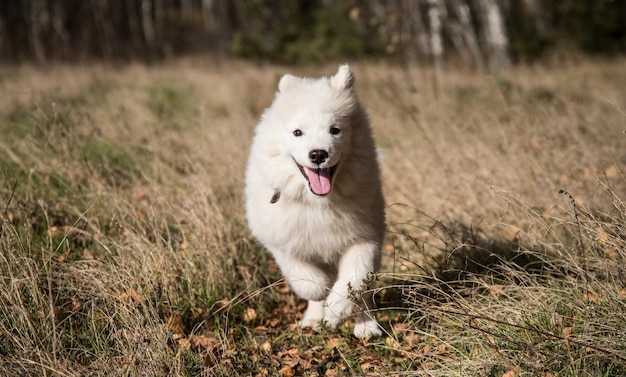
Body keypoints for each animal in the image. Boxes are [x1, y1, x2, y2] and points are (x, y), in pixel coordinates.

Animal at [245, 64, 386, 338]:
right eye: (297, 132)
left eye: (335, 130)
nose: (319, 154)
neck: (317, 203)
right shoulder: (282, 241)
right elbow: (308, 281)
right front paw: (322, 299)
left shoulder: (366, 237)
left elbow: (355, 278)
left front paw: (336, 311)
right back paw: (313, 318)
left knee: (364, 292)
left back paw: (366, 325)